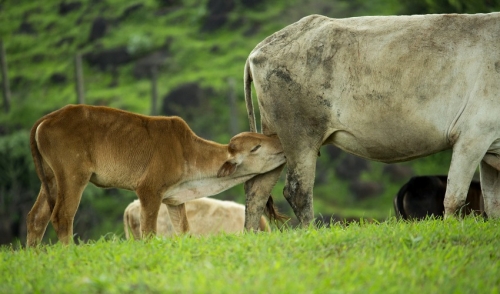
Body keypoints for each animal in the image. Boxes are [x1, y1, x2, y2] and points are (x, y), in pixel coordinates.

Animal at [244, 13, 500, 230]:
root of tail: (259, 49)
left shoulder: (490, 146)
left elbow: (493, 204)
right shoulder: (473, 136)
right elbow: (455, 199)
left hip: (274, 139)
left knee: (257, 189)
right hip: (300, 136)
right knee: (297, 191)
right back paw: (310, 232)